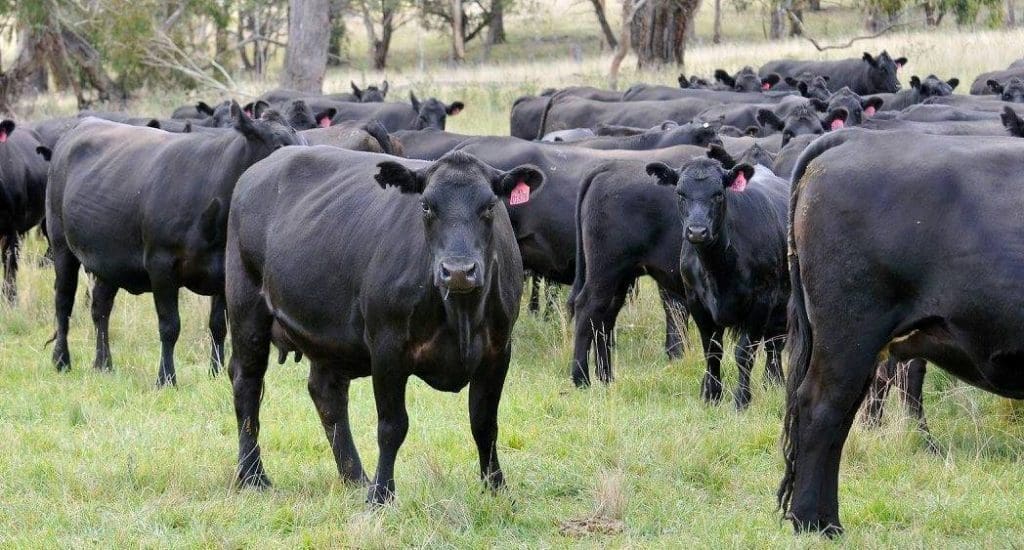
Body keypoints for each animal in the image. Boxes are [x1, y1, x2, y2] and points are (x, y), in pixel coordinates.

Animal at [47, 104, 303, 383]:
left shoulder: (224, 273)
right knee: (63, 303)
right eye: (278, 146)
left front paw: (215, 372)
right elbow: (170, 326)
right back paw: (61, 360)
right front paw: (166, 378)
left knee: (100, 308)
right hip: (60, 245)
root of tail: (83, 124)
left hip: (108, 260)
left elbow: (218, 325)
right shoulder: (161, 264)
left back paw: (103, 364)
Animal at [225, 145, 544, 501]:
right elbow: (392, 426)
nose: (458, 271)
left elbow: (484, 423)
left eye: (489, 206)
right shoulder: (387, 347)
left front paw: (497, 488)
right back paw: (253, 475)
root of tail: (262, 166)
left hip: (328, 337)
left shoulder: (498, 349)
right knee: (247, 382)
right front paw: (381, 495)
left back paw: (354, 476)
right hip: (246, 306)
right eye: (426, 206)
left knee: (327, 394)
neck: (461, 313)